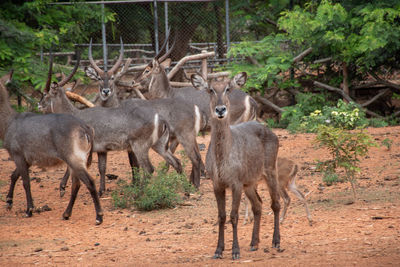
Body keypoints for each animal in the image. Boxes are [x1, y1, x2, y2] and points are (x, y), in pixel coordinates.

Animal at [0, 61, 103, 225]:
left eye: (46, 95)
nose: (39, 104)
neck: (9, 121)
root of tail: (85, 127)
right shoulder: (27, 159)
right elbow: (14, 175)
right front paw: (9, 201)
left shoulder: (18, 156)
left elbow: (25, 181)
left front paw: (29, 210)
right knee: (77, 184)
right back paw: (66, 213)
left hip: (75, 160)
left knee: (89, 182)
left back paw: (99, 217)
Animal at [37, 49, 181, 197]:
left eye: (45, 93)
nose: (39, 104)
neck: (76, 114)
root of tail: (161, 119)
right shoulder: (101, 149)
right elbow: (101, 167)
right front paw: (101, 190)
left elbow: (72, 168)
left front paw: (62, 187)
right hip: (159, 145)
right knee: (176, 161)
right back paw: (184, 189)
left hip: (139, 146)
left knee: (149, 169)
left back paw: (138, 195)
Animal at [86, 38, 206, 189]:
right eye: (99, 78)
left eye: (147, 70)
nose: (105, 91)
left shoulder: (134, 145)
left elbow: (135, 164)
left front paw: (136, 185)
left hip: (185, 136)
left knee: (195, 158)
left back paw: (194, 186)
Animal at [191, 72, 282, 260]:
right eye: (210, 89)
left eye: (228, 88)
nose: (220, 110)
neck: (222, 158)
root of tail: (271, 132)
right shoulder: (218, 184)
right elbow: (221, 216)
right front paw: (218, 250)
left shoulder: (236, 183)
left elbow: (234, 216)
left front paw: (235, 251)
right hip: (250, 183)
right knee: (258, 205)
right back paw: (254, 243)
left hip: (270, 171)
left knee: (276, 203)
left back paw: (276, 242)